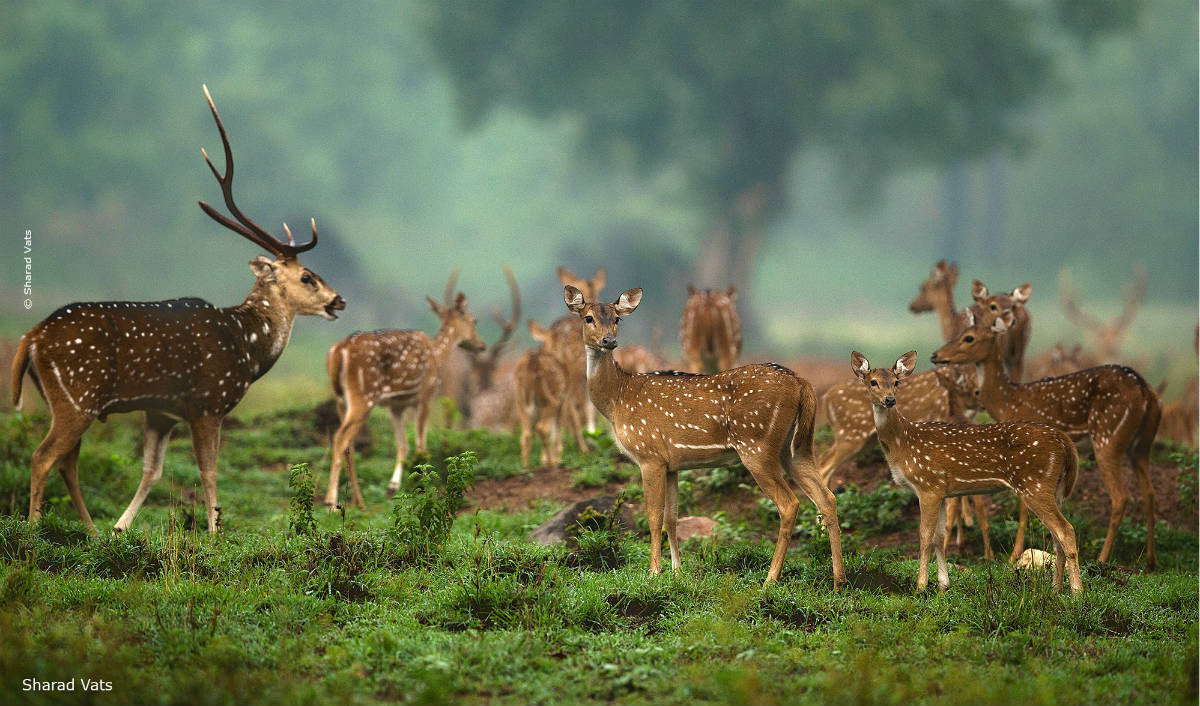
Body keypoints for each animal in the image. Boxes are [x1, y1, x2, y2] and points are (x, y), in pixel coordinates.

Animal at [9, 84, 345, 535]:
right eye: (308, 277)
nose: (338, 300)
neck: (247, 347)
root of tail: (31, 338)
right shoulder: (208, 403)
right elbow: (210, 470)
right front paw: (216, 532)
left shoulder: (161, 411)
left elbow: (151, 471)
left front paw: (120, 528)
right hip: (77, 396)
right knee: (43, 456)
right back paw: (32, 529)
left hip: (60, 399)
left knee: (67, 462)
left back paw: (93, 531)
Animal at [324, 286, 487, 506]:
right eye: (474, 320)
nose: (481, 345)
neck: (437, 355)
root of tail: (338, 351)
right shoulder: (426, 393)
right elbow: (420, 445)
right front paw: (424, 484)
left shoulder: (396, 406)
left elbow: (402, 445)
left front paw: (392, 487)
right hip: (364, 394)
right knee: (340, 437)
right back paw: (331, 502)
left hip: (340, 398)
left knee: (348, 444)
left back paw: (359, 502)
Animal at [561, 284, 844, 588]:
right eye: (588, 317)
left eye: (617, 319)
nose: (609, 340)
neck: (618, 399)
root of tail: (802, 383)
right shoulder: (672, 464)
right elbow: (672, 518)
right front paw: (677, 571)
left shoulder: (649, 455)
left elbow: (653, 516)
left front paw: (653, 572)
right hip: (797, 447)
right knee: (827, 497)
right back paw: (839, 580)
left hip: (757, 445)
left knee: (789, 504)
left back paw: (770, 579)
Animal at [849, 350, 1084, 593]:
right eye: (873, 382)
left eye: (896, 382)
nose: (890, 400)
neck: (903, 444)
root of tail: (1064, 441)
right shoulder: (941, 491)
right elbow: (940, 536)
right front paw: (943, 585)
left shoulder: (927, 485)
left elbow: (925, 535)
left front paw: (921, 587)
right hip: (1053, 487)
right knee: (1056, 537)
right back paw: (1056, 589)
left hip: (1035, 484)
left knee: (1066, 530)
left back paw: (1076, 592)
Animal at [926, 309, 1161, 569]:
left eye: (968, 337)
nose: (935, 355)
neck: (1006, 402)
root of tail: (1146, 391)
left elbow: (1022, 508)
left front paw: (1014, 554)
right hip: (1141, 445)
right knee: (1149, 491)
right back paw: (1150, 561)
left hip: (1107, 438)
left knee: (1121, 495)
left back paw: (1102, 558)